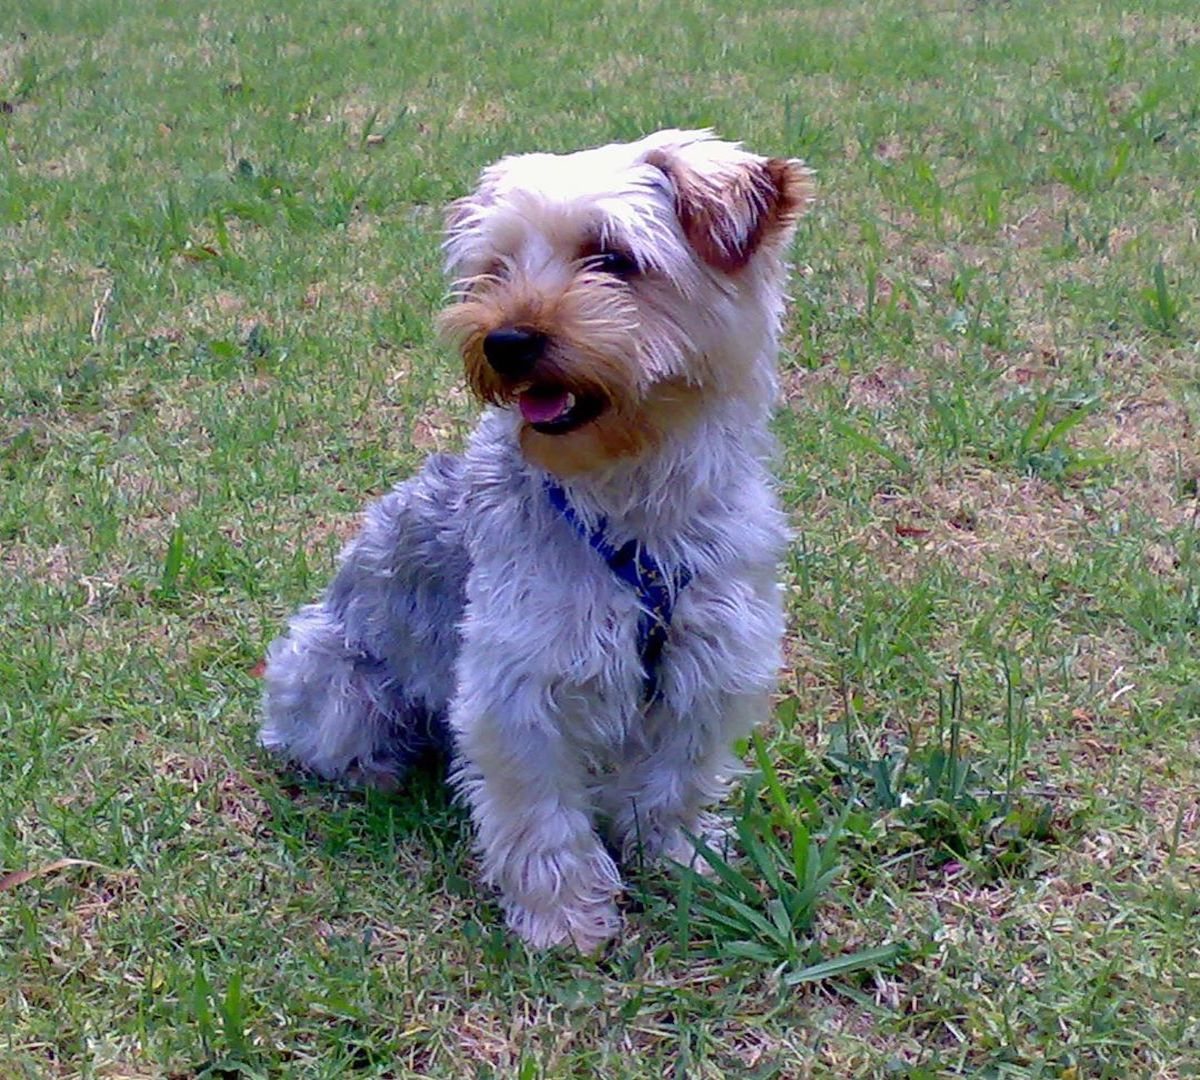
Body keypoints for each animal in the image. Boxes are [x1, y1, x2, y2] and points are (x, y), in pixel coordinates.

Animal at [258, 130, 811, 950]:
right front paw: (565, 919)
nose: (506, 339)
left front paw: (678, 859)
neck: (633, 505)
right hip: (333, 679)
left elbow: (673, 782)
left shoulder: (711, 661)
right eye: (497, 267)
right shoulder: (520, 681)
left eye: (613, 257)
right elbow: (542, 818)